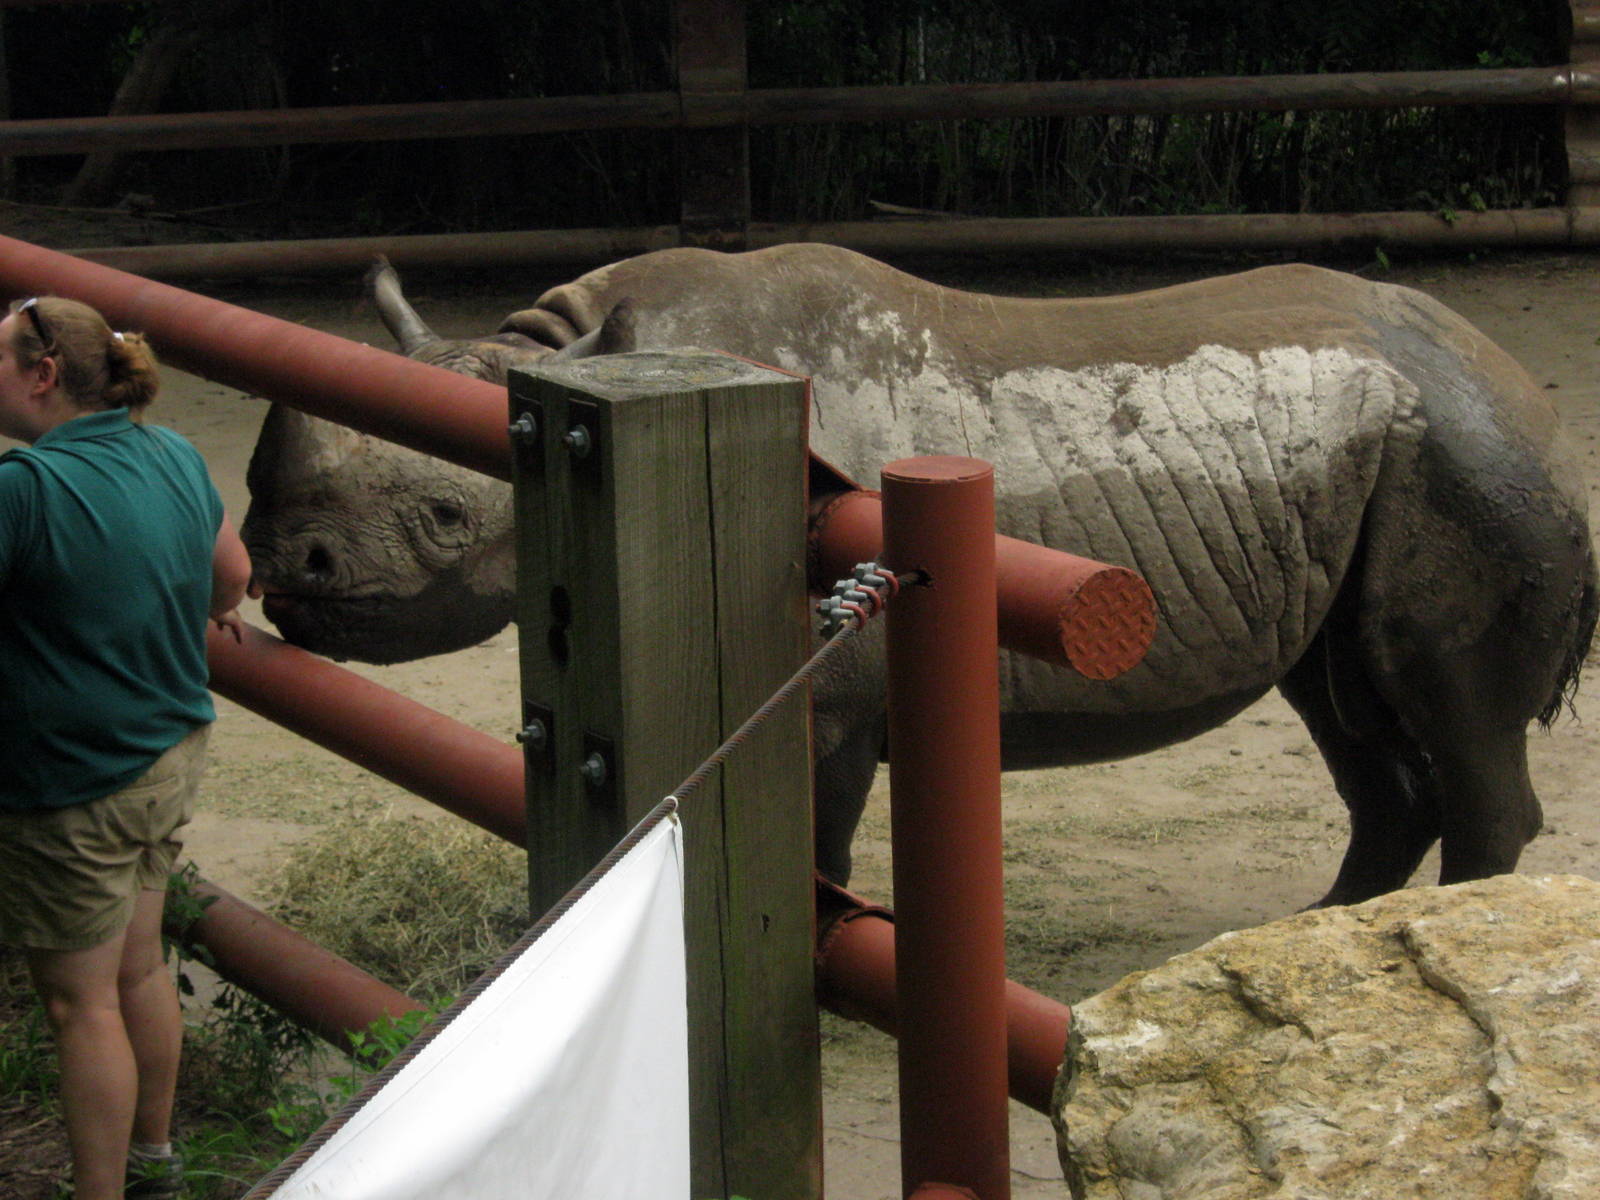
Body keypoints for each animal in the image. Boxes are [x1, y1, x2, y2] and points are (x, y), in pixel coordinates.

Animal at [242, 244, 1598, 906]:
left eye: (442, 514)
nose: (278, 569)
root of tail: (1527, 395)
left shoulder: (823, 686)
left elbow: (815, 837)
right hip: (1392, 454)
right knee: (1343, 699)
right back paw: (1326, 933)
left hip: (1467, 459)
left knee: (1446, 712)